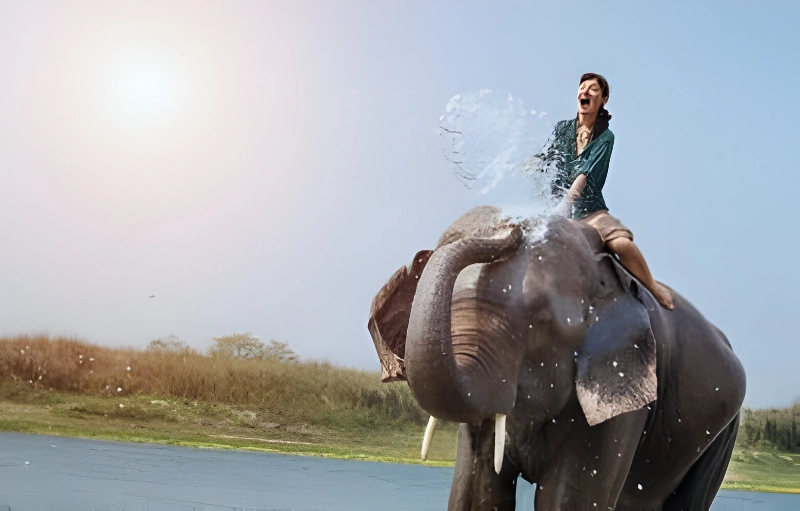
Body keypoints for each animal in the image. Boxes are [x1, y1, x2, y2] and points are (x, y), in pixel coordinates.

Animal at [368, 207, 744, 511]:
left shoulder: (624, 394)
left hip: (723, 430)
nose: (510, 228)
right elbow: (478, 492)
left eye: (541, 320)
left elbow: (567, 499)